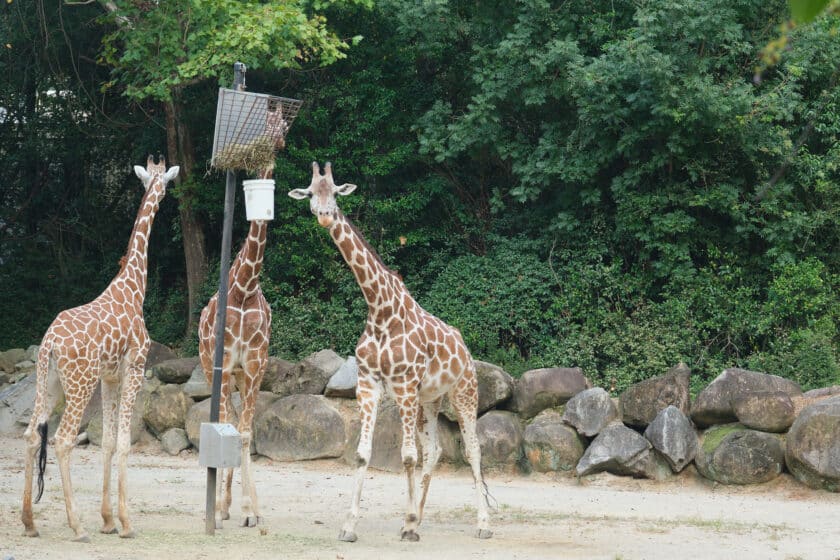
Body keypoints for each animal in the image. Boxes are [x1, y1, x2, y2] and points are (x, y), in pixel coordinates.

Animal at [21, 156, 179, 542]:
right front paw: (125, 523)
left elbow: (106, 441)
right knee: (62, 440)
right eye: (164, 182)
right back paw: (76, 526)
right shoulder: (134, 368)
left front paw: (108, 519)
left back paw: (29, 522)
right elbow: (122, 442)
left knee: (31, 434)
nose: (164, 196)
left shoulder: (110, 377)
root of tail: (49, 343)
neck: (133, 288)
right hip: (79, 384)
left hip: (49, 382)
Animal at [288, 162, 492, 542]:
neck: (380, 308)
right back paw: (417, 517)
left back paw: (483, 524)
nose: (324, 215)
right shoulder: (369, 384)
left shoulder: (404, 385)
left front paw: (408, 524)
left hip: (464, 392)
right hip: (430, 400)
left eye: (335, 191)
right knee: (435, 450)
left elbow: (407, 455)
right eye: (309, 193)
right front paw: (351, 526)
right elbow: (363, 454)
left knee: (472, 449)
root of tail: (463, 344)